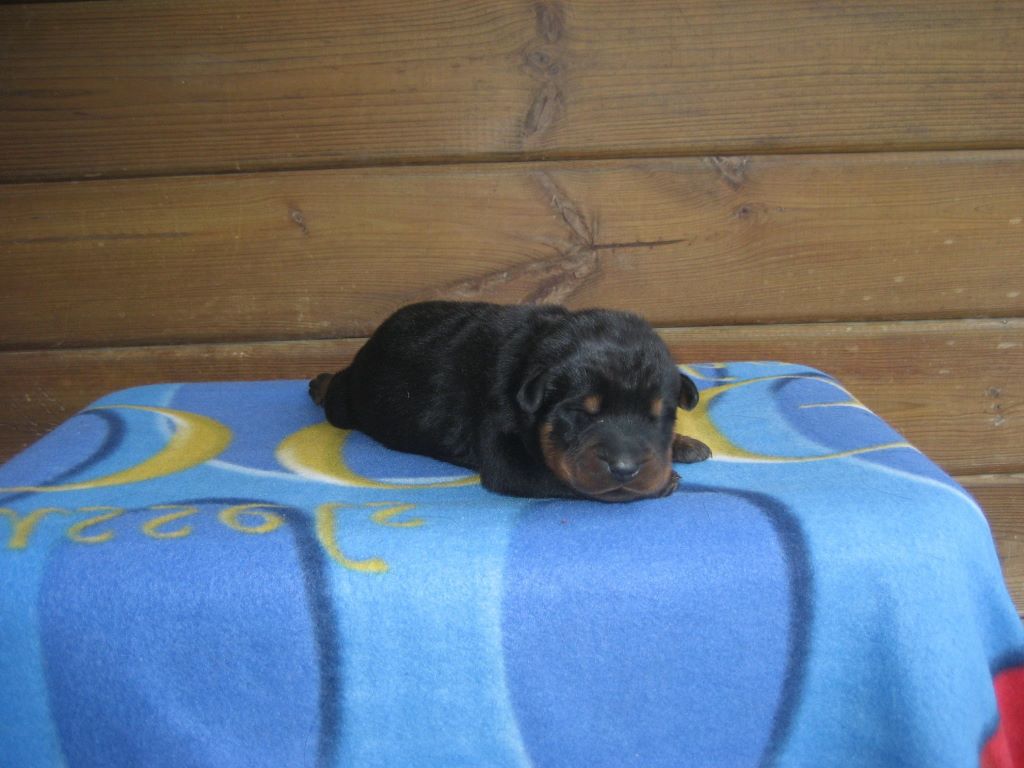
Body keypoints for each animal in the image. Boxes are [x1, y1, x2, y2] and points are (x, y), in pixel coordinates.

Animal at [309, 301, 711, 501]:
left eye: (658, 416)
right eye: (580, 414)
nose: (626, 468)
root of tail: (370, 342)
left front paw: (681, 443)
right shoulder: (508, 455)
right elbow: (566, 480)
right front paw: (665, 481)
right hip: (350, 403)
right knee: (336, 392)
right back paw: (319, 382)